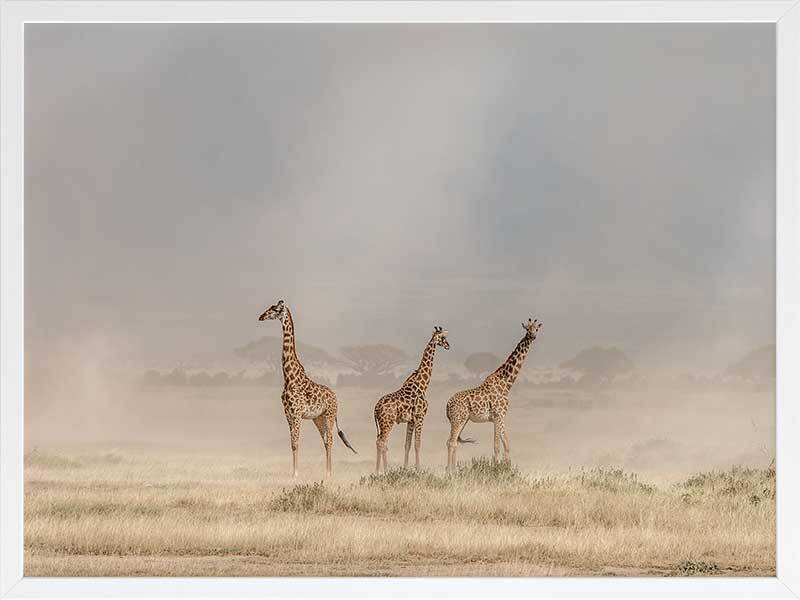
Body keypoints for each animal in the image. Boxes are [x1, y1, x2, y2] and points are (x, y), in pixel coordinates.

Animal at [258, 300, 356, 477]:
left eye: (275, 309)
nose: (261, 317)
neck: (289, 377)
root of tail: (336, 397)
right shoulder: (288, 414)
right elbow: (292, 443)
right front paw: (293, 474)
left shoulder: (297, 413)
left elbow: (296, 442)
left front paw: (295, 474)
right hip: (318, 418)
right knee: (325, 440)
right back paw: (326, 472)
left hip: (329, 415)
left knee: (330, 439)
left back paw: (329, 473)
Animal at [373, 326, 450, 473]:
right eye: (443, 337)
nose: (448, 345)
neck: (422, 385)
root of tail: (376, 408)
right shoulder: (420, 416)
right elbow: (417, 444)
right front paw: (418, 468)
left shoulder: (410, 420)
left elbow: (407, 444)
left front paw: (405, 468)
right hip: (388, 422)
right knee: (382, 442)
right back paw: (384, 470)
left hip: (381, 424)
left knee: (380, 442)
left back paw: (377, 470)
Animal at [445, 318, 542, 472]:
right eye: (527, 329)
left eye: (536, 329)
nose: (532, 336)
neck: (506, 384)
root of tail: (447, 404)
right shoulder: (498, 415)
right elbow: (497, 446)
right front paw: (496, 469)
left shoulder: (501, 417)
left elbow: (506, 445)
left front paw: (507, 468)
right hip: (458, 419)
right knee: (451, 442)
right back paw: (450, 472)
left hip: (462, 420)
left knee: (453, 442)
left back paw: (453, 470)